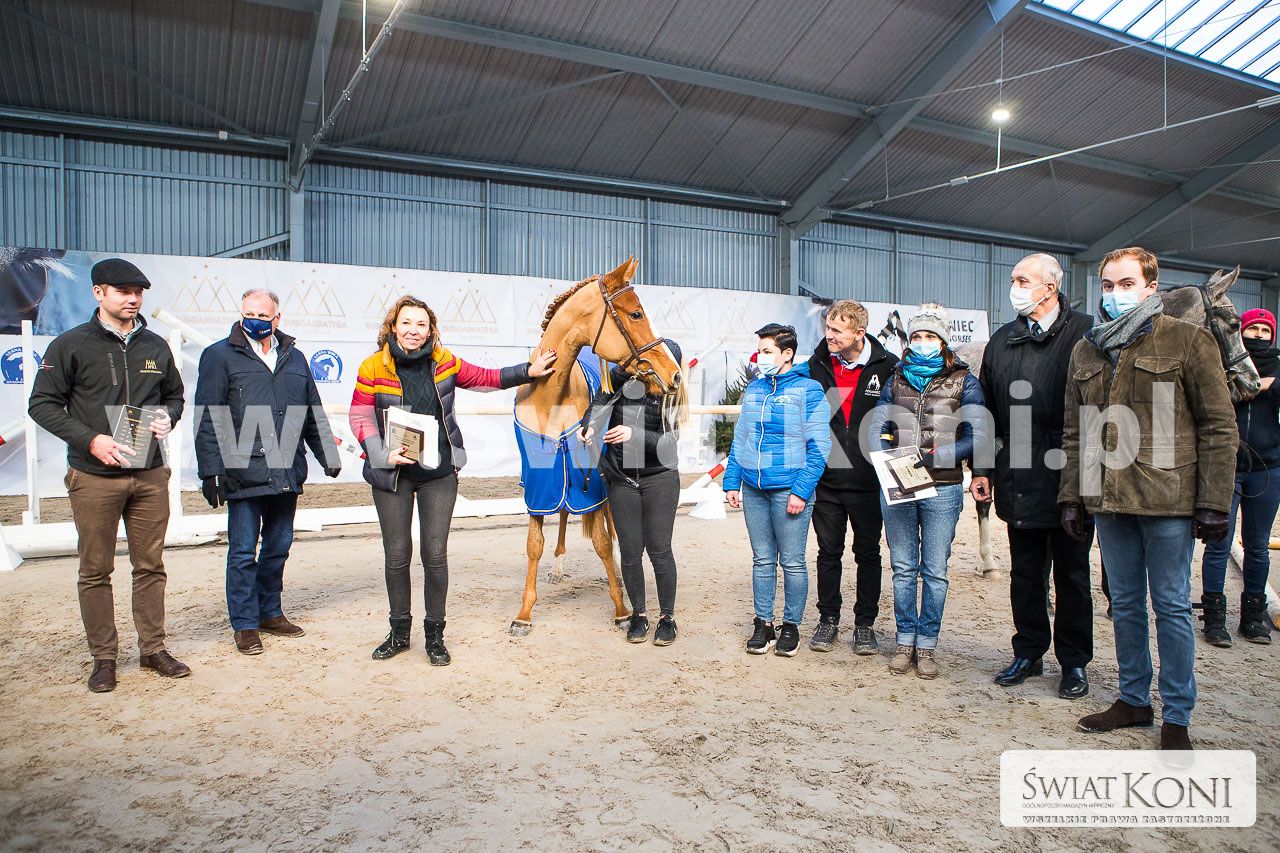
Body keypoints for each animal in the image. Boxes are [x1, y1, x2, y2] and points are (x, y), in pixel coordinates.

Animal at [509, 258, 683, 636]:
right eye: (636, 314)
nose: (674, 373)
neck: (550, 398)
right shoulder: (539, 483)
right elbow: (534, 545)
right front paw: (524, 614)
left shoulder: (592, 479)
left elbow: (603, 541)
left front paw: (621, 608)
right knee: (562, 514)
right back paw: (558, 567)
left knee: (610, 528)